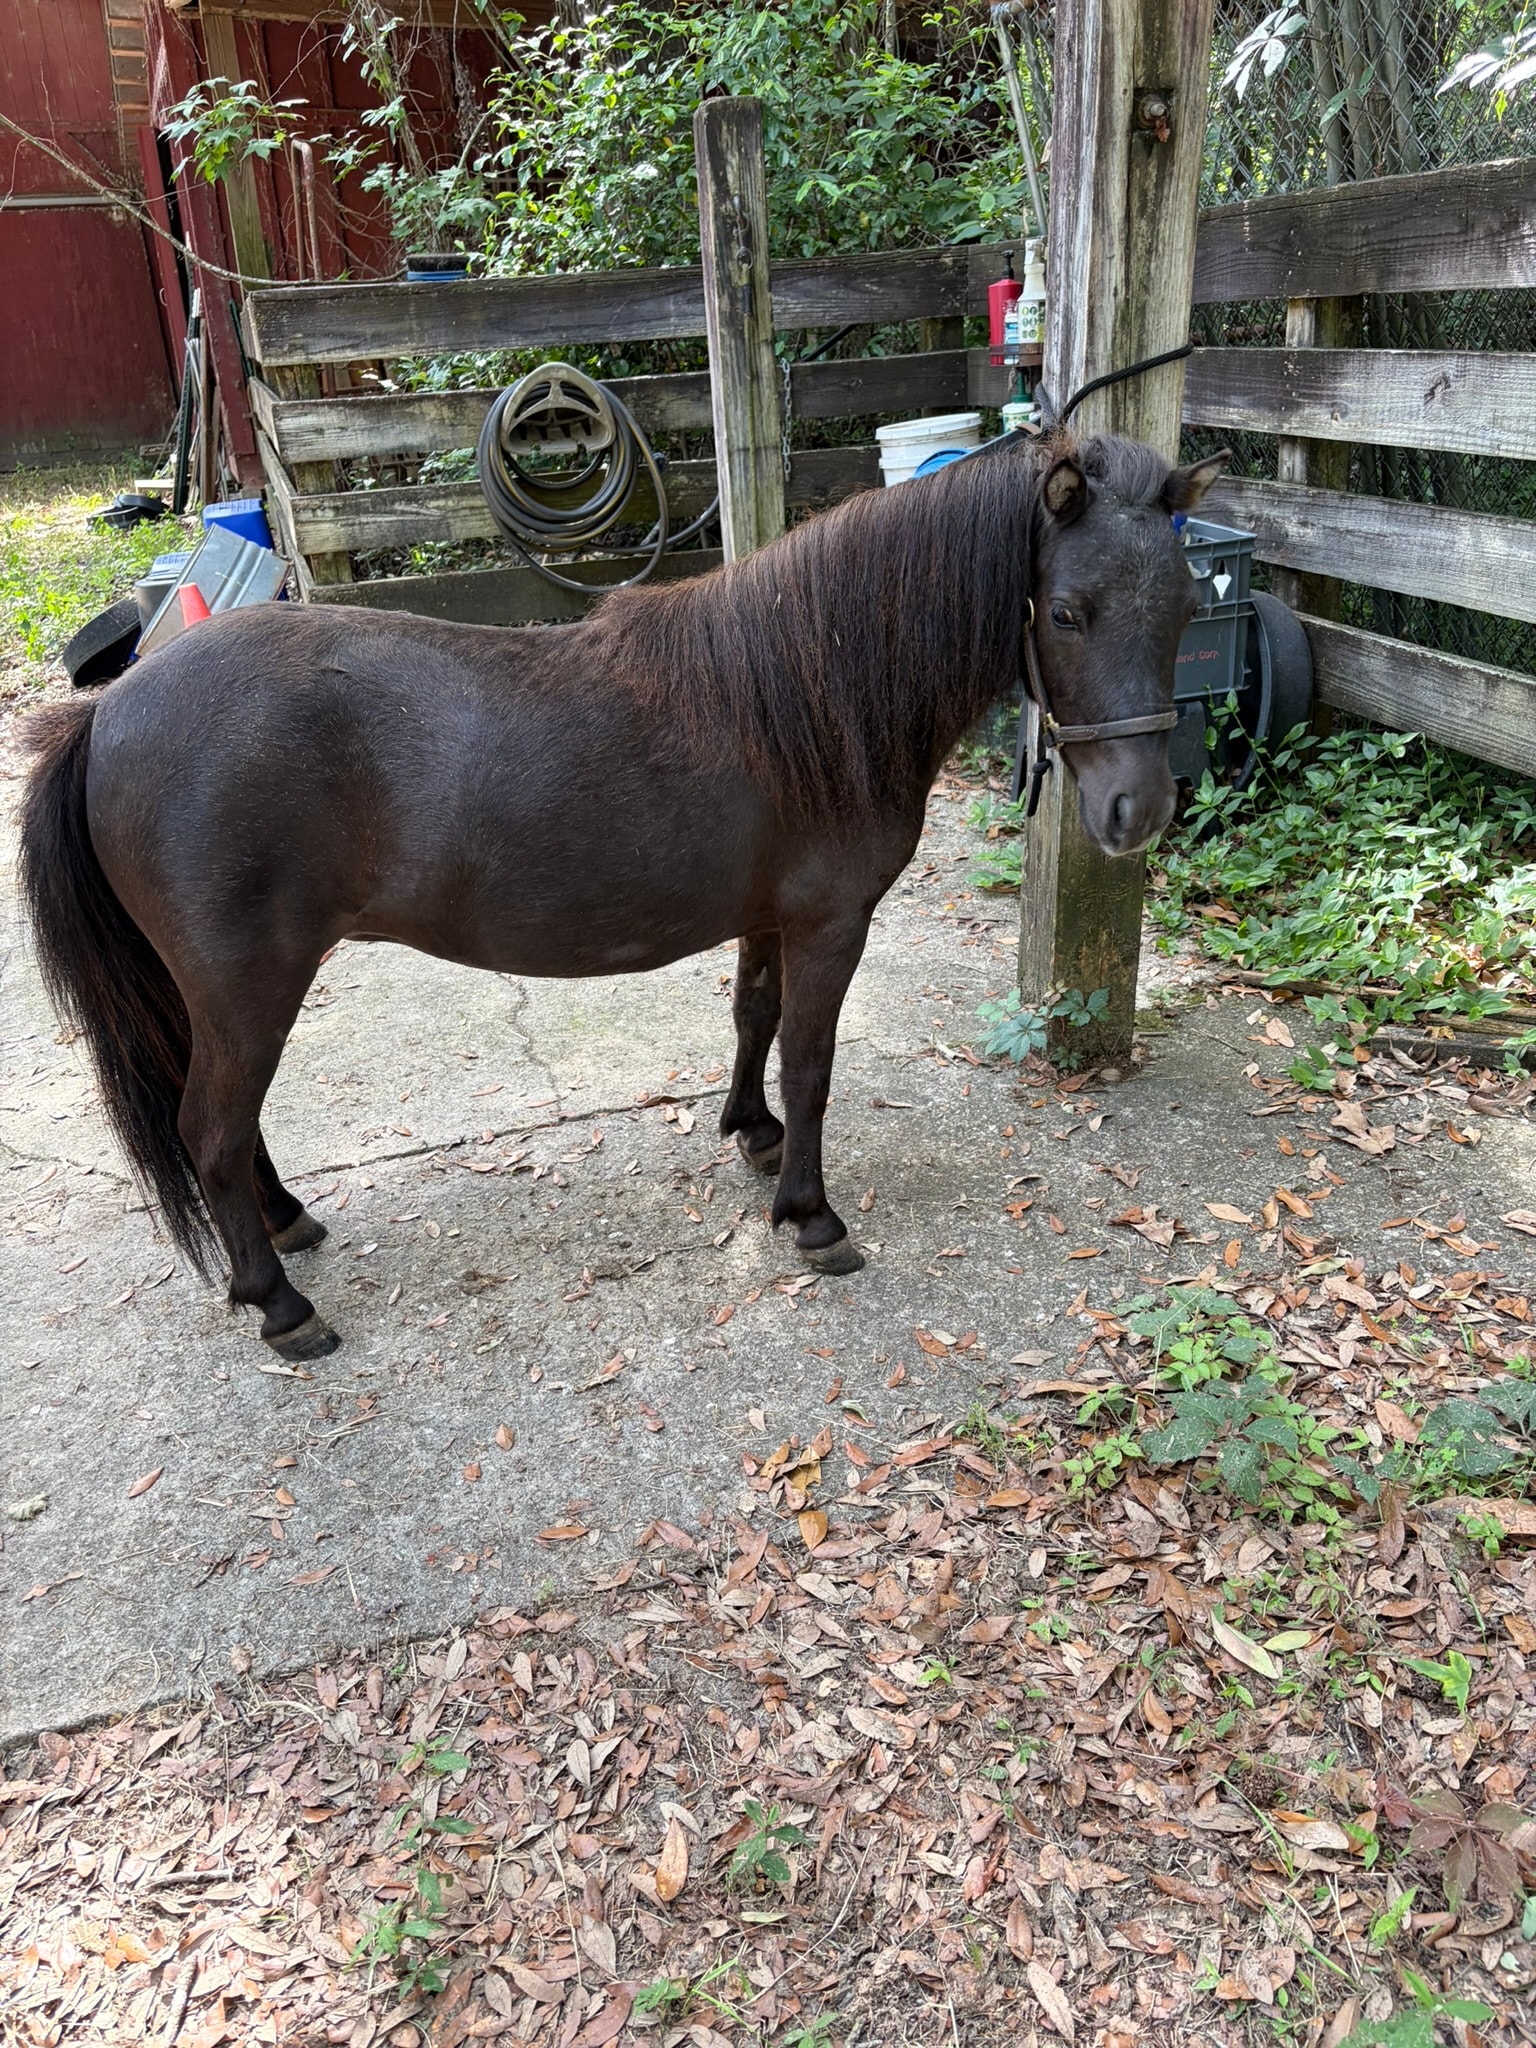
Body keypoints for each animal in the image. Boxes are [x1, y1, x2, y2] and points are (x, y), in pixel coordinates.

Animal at [19, 429, 1226, 1363]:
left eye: (1179, 608)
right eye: (1066, 613)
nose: (1139, 809)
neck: (816, 689)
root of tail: (108, 712)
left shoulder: (771, 918)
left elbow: (753, 1021)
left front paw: (753, 1136)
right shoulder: (831, 923)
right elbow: (814, 1061)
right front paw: (810, 1213)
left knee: (230, 1125)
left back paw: (285, 1226)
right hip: (246, 983)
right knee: (212, 1127)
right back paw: (280, 1304)